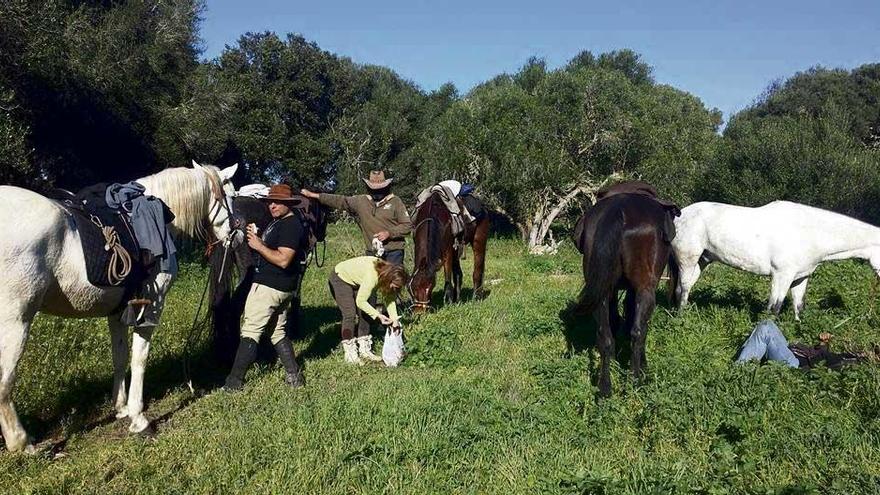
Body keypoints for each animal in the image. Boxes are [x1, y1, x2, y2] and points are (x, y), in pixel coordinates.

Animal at [0, 161, 237, 452]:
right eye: (232, 197)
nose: (236, 236)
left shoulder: (118, 312)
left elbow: (120, 356)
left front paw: (121, 407)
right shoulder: (151, 307)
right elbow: (139, 358)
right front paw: (139, 418)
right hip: (16, 321)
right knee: (5, 381)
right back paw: (22, 443)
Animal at [672, 200, 880, 320]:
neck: (810, 232)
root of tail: (679, 215)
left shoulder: (800, 277)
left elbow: (798, 306)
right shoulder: (781, 276)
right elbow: (774, 308)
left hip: (703, 260)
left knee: (683, 288)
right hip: (688, 258)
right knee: (683, 288)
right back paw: (682, 319)